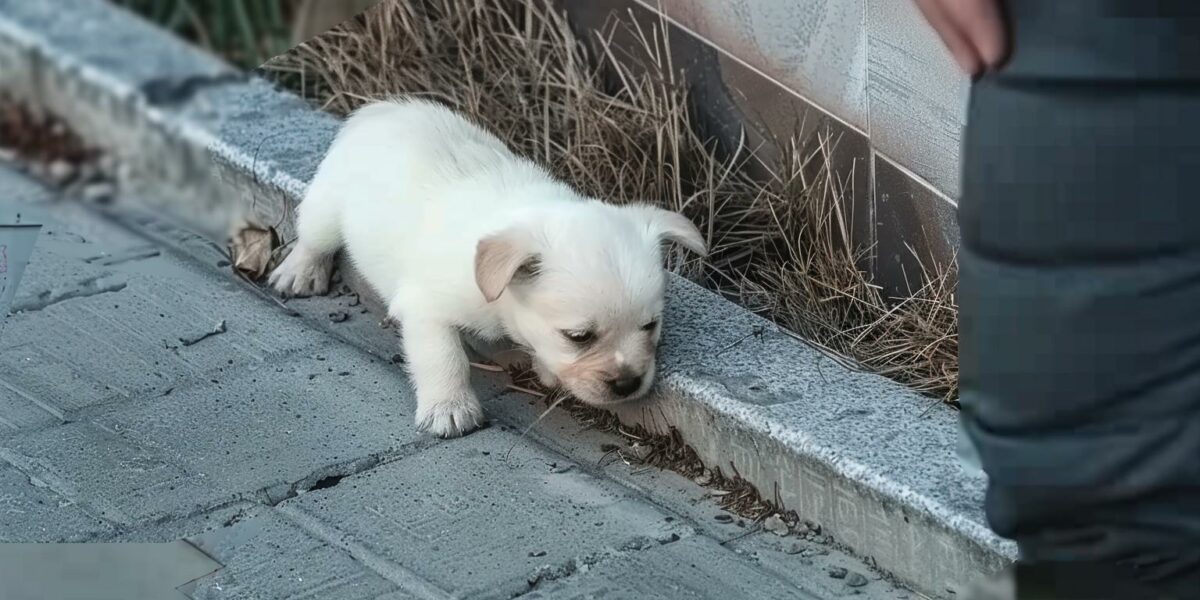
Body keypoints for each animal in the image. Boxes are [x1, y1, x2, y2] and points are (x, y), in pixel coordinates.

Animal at [272, 97, 700, 436]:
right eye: (579, 337)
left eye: (650, 326)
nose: (628, 384)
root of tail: (382, 108)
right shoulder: (424, 309)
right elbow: (444, 357)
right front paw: (449, 408)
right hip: (326, 208)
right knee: (312, 238)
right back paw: (299, 272)